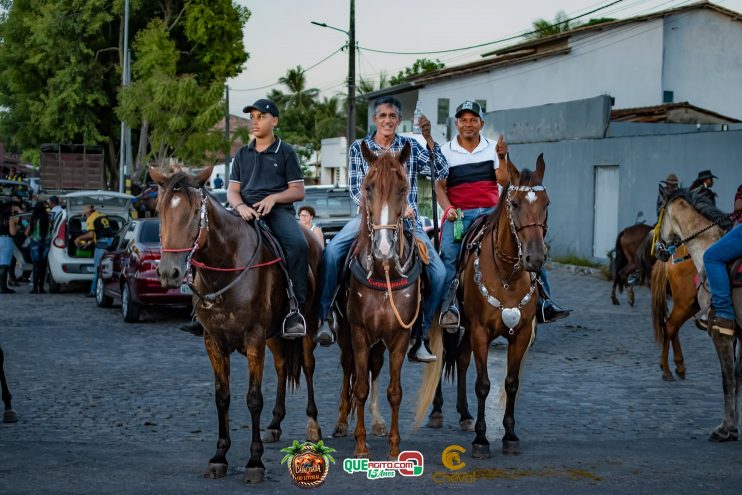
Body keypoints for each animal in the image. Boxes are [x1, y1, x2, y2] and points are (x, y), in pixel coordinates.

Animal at [151, 168, 322, 484]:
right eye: (159, 210)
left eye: (194, 212)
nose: (169, 272)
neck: (225, 266)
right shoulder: (213, 342)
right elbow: (222, 398)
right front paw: (219, 456)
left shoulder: (254, 340)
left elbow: (253, 399)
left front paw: (255, 462)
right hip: (273, 336)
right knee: (282, 366)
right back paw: (275, 423)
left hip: (309, 326)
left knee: (307, 366)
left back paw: (313, 426)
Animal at [332, 141, 422, 460]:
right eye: (368, 187)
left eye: (402, 188)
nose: (384, 248)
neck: (385, 272)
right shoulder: (359, 333)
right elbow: (358, 386)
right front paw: (360, 446)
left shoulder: (399, 336)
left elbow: (394, 391)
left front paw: (394, 446)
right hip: (346, 335)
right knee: (349, 369)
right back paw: (341, 421)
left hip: (380, 342)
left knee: (375, 368)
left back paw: (377, 421)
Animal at [418, 154, 552, 458]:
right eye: (515, 204)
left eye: (546, 203)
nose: (535, 258)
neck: (506, 275)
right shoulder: (481, 332)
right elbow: (483, 384)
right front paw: (481, 440)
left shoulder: (520, 334)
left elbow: (510, 384)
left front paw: (510, 436)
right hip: (447, 325)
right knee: (442, 358)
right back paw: (438, 411)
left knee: (462, 361)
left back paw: (465, 415)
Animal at [652, 246, 700, 382]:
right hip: (685, 303)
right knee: (670, 326)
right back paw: (667, 370)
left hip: (692, 305)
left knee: (673, 327)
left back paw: (679, 366)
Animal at [660, 189, 740, 442]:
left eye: (660, 214)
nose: (659, 250)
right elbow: (738, 378)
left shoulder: (721, 332)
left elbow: (728, 379)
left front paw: (726, 430)